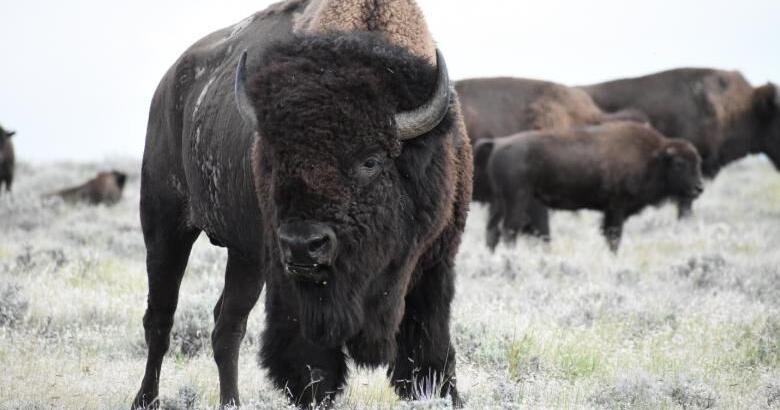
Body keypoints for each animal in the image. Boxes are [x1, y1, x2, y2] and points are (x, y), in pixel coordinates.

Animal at [132, 0, 471, 408]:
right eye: (277, 158)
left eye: (370, 160)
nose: (303, 245)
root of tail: (168, 86)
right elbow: (311, 366)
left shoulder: (434, 265)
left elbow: (431, 352)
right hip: (165, 227)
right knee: (161, 319)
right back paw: (145, 399)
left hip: (245, 257)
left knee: (226, 325)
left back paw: (231, 401)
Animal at [477, 122, 703, 252]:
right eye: (680, 163)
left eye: (698, 161)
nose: (699, 188)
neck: (652, 156)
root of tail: (498, 143)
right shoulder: (617, 207)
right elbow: (614, 236)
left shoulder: (610, 211)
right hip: (517, 200)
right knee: (509, 231)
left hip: (499, 202)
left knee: (492, 231)